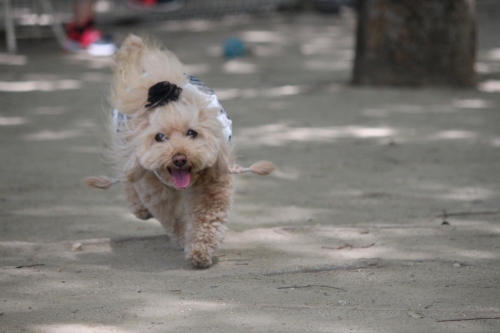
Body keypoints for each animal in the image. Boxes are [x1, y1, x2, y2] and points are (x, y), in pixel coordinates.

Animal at [86, 34, 274, 268]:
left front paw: (199, 252)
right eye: (159, 137)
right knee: (128, 178)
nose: (179, 159)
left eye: (191, 132)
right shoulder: (157, 193)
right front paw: (184, 239)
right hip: (125, 148)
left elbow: (206, 221)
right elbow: (173, 218)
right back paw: (140, 209)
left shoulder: (212, 186)